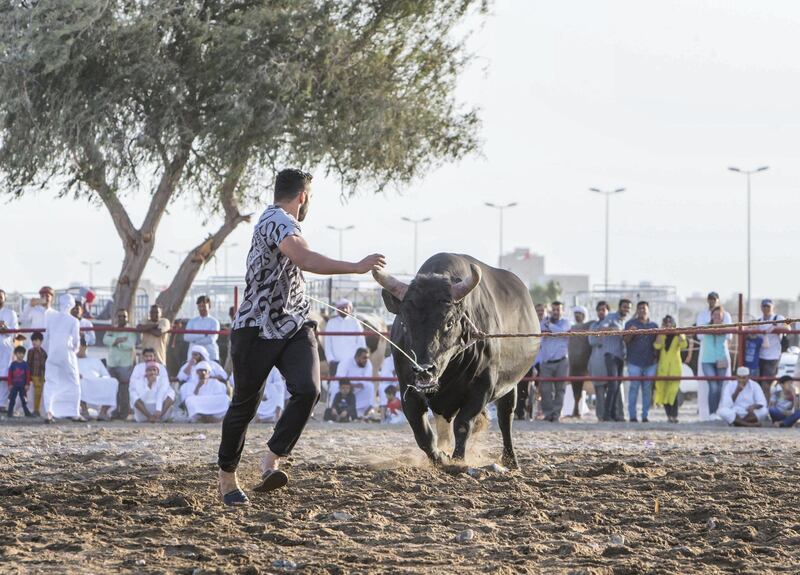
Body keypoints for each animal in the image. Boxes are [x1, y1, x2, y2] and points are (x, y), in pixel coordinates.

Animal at [374, 252, 536, 468]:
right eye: (405, 324)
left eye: (449, 322)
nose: (424, 370)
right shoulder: (408, 390)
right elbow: (422, 432)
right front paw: (441, 458)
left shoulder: (482, 389)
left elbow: (463, 425)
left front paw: (458, 461)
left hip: (510, 385)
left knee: (505, 418)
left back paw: (511, 460)